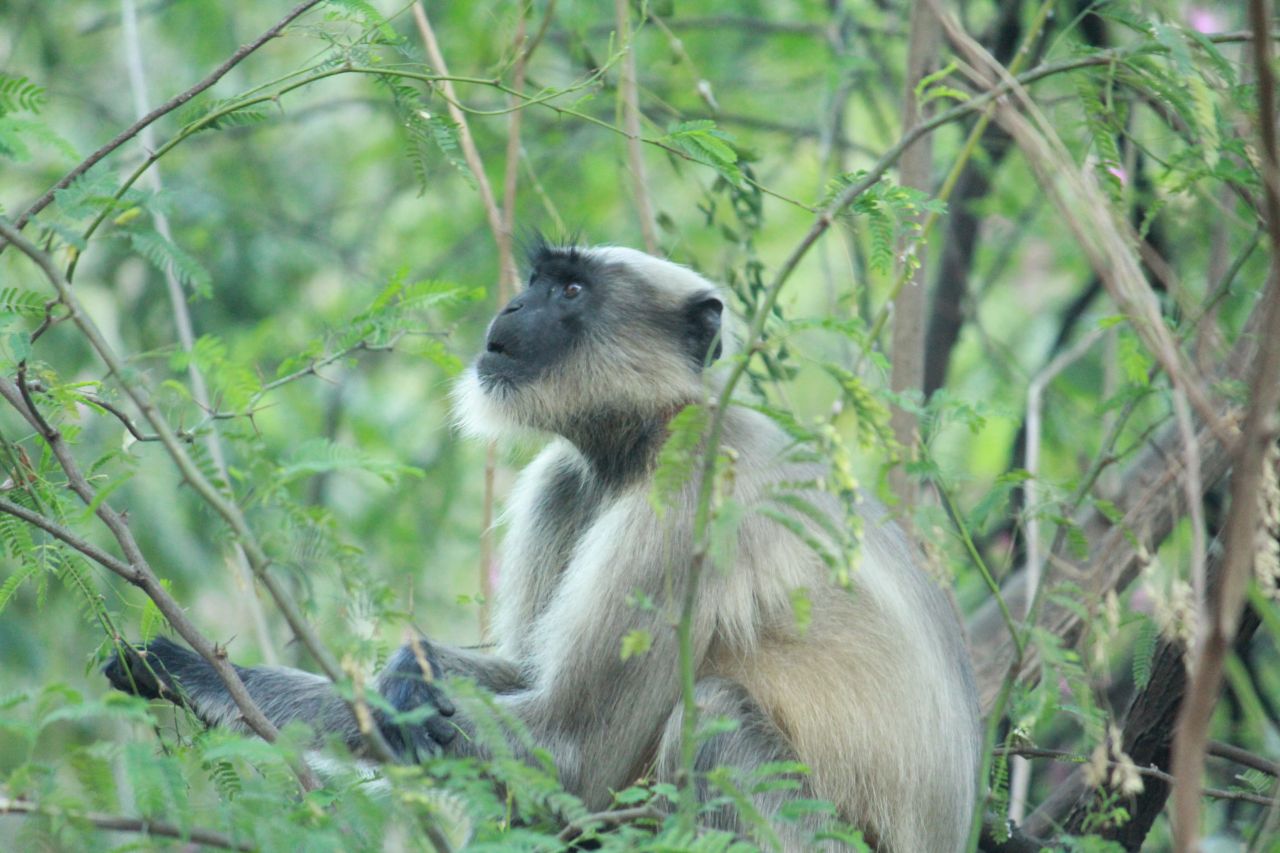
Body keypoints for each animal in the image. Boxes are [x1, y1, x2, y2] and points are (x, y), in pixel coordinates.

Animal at [107, 240, 977, 850]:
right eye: (538, 279)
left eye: (571, 291)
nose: (512, 308)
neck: (644, 438)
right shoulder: (566, 480)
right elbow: (525, 678)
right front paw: (410, 669)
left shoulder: (687, 499)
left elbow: (573, 750)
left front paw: (193, 674)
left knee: (715, 712)